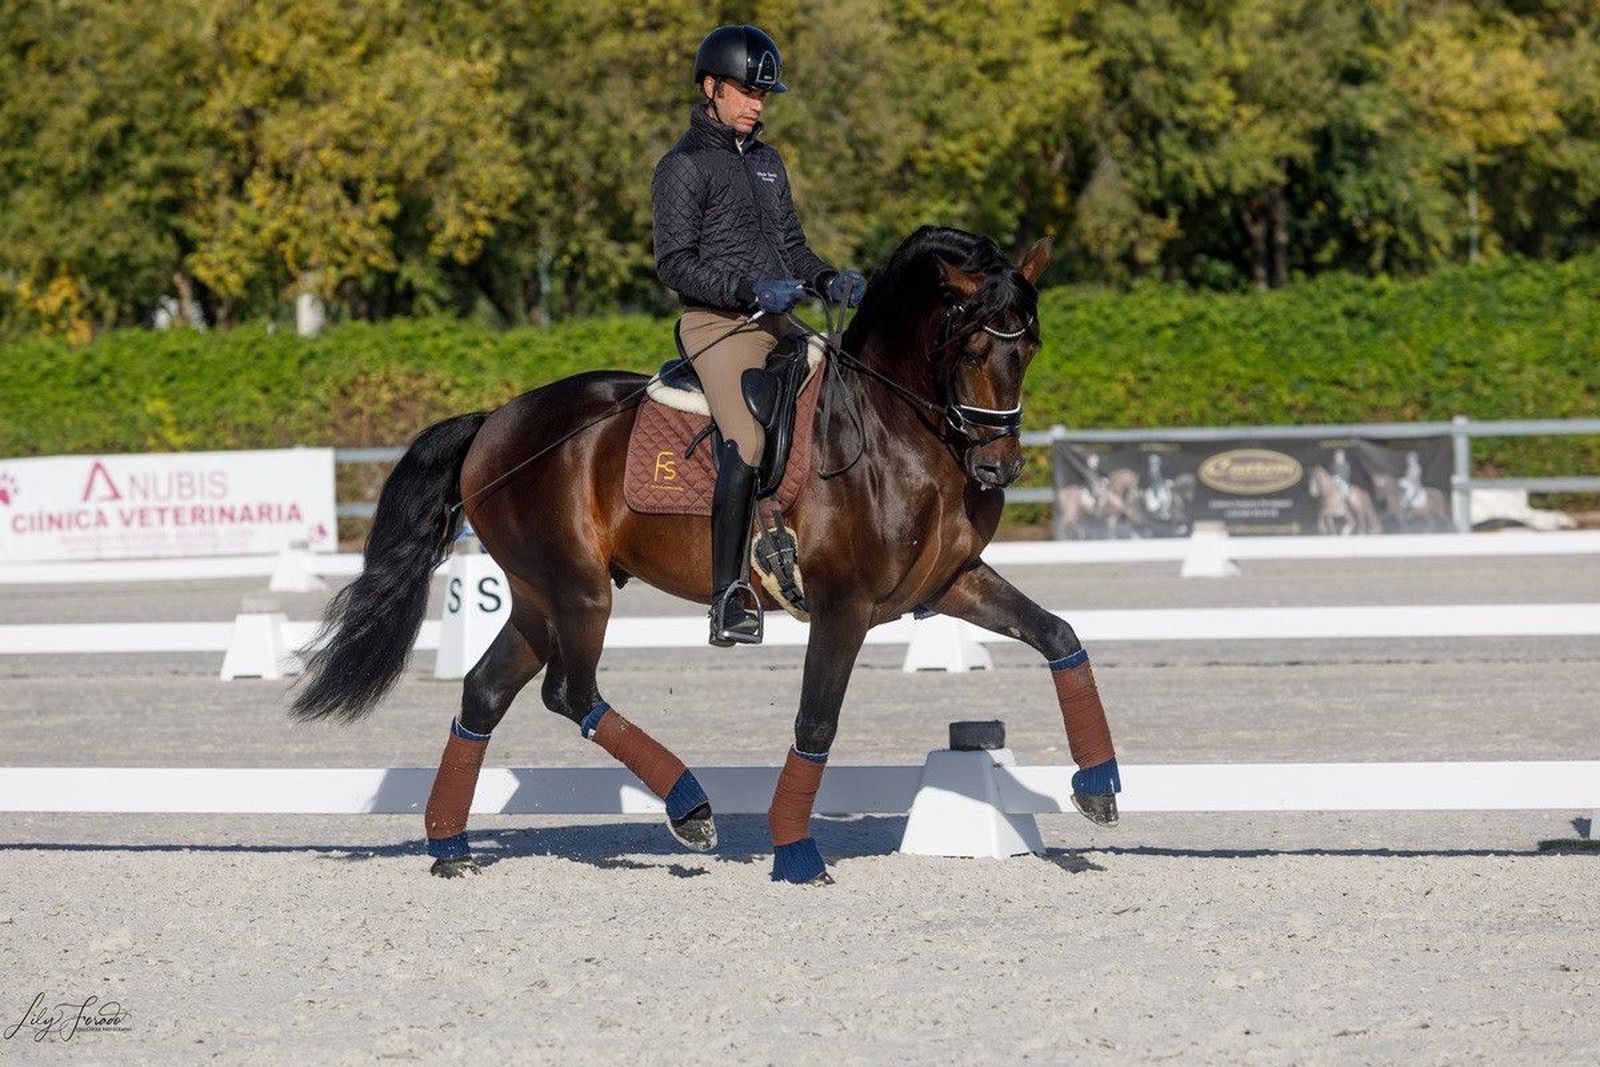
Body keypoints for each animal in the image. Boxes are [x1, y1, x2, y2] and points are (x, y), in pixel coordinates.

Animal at [289, 226, 1122, 885]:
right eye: (972, 342)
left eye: (1031, 344)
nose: (998, 469)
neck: (897, 429)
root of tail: (495, 419)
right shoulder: (844, 605)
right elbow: (817, 720)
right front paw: (795, 853)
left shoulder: (950, 583)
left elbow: (1059, 635)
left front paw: (1099, 786)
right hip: (581, 591)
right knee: (570, 691)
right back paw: (689, 805)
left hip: (536, 595)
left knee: (485, 693)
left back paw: (451, 844)